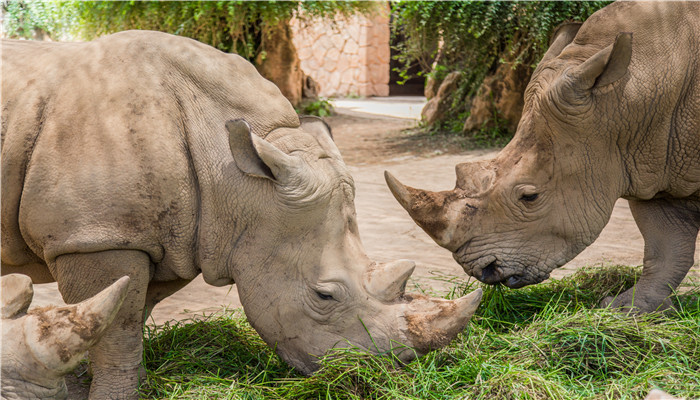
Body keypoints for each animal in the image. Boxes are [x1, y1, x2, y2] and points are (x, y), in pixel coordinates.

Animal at [386, 0, 696, 312]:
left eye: (530, 197)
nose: (485, 271)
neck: (624, 99)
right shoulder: (649, 164)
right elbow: (664, 245)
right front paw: (625, 309)